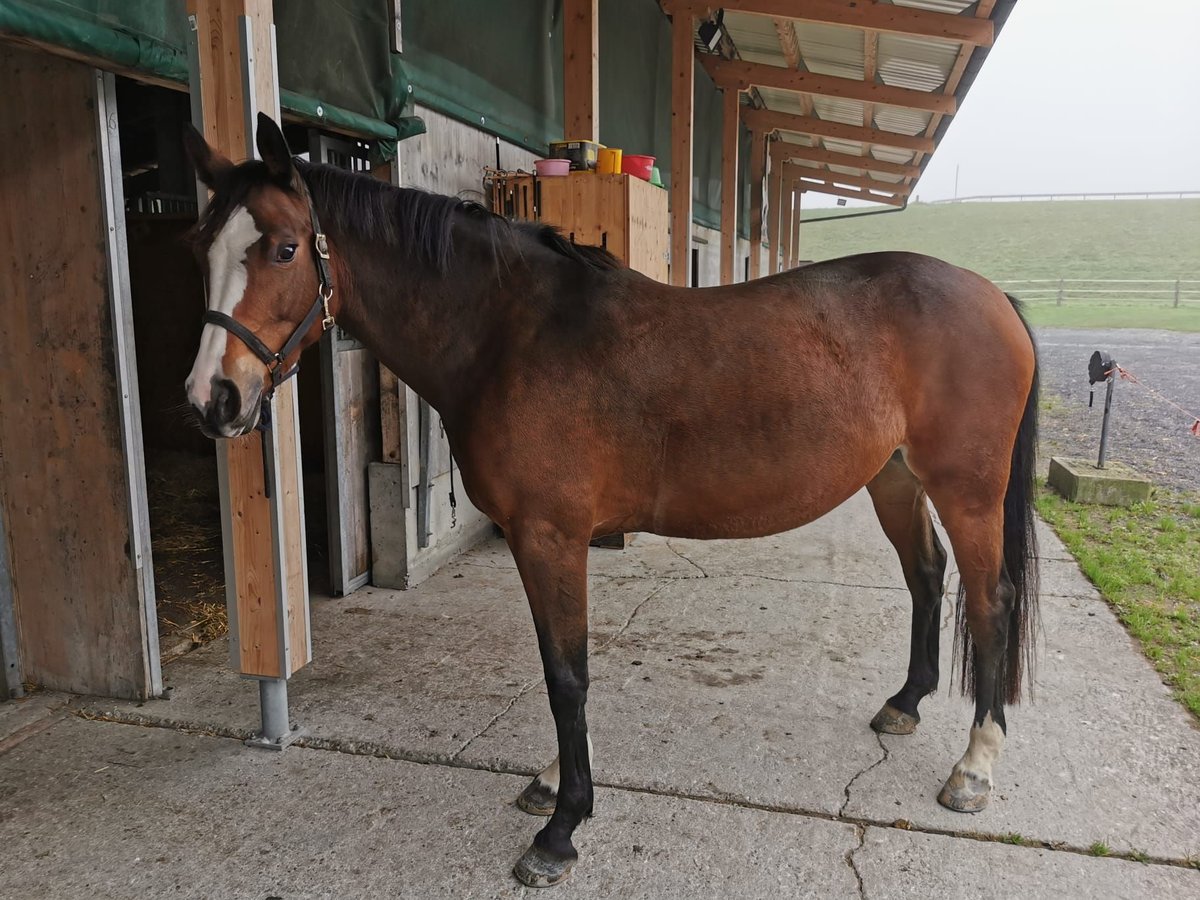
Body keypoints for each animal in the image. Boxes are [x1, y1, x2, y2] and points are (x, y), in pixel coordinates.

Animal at [180, 118, 1041, 888]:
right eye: (202, 247)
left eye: (284, 248)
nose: (211, 400)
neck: (507, 335)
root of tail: (994, 296)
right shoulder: (538, 539)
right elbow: (559, 665)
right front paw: (554, 783)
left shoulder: (550, 535)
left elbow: (567, 675)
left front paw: (563, 828)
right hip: (893, 477)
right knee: (926, 575)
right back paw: (906, 703)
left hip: (966, 490)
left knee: (990, 600)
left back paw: (975, 766)